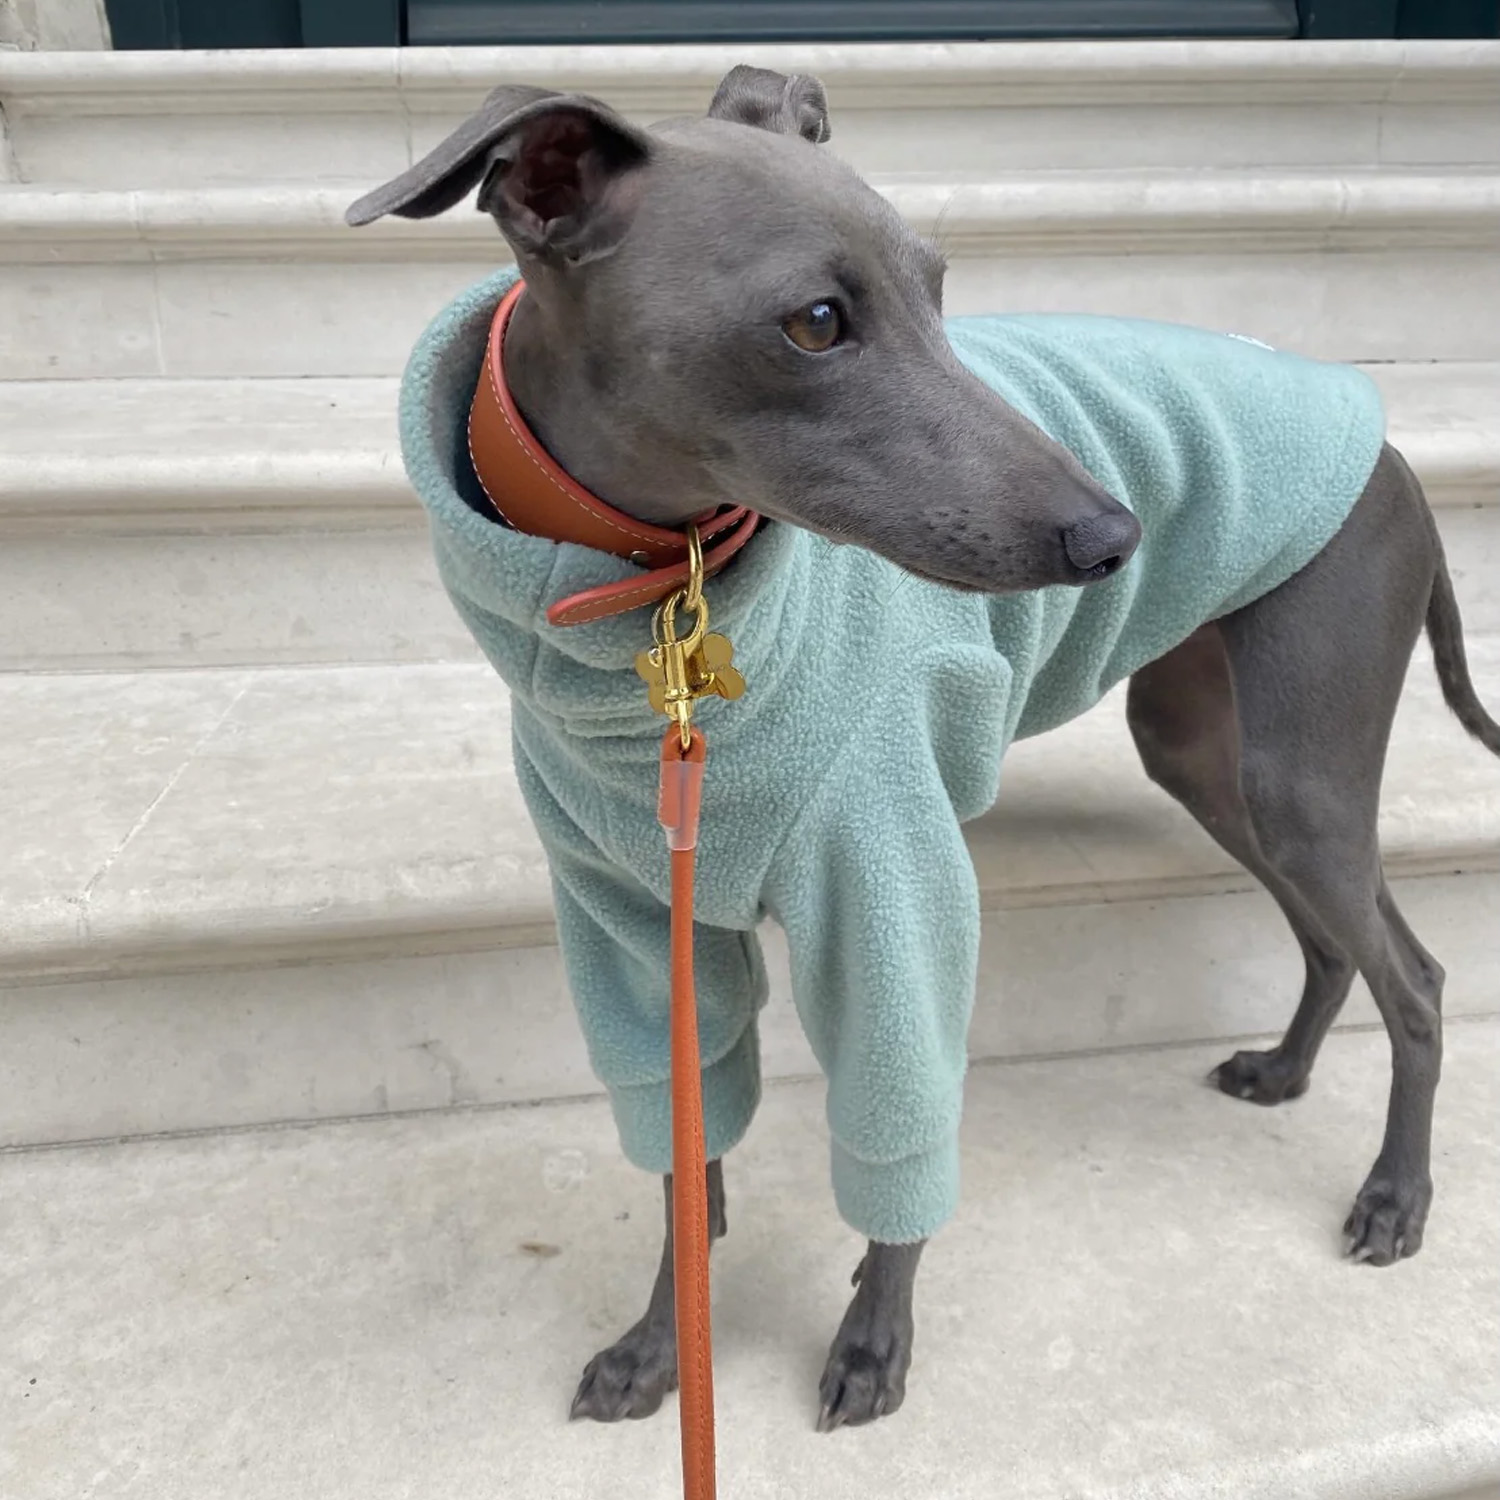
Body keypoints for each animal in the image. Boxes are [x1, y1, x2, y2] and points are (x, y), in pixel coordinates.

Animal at [346, 66, 1500, 1431]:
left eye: (939, 288)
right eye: (815, 322)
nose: (1113, 535)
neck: (656, 609)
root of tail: (1391, 453)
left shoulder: (890, 888)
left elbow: (894, 1132)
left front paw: (870, 1343)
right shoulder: (633, 923)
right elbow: (688, 1154)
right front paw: (658, 1346)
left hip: (1304, 763)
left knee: (1416, 977)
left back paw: (1395, 1198)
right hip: (1211, 757)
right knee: (1335, 941)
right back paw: (1283, 1072)